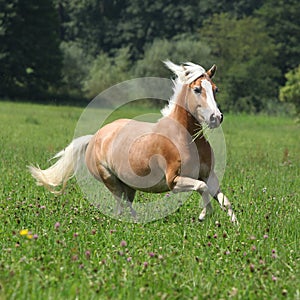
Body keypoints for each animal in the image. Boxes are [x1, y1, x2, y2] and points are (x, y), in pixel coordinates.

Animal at [29, 61, 238, 224]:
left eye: (215, 89)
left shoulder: (208, 175)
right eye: (197, 89)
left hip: (128, 185)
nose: (216, 117)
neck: (184, 137)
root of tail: (95, 137)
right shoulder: (174, 180)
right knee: (121, 206)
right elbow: (201, 188)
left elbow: (224, 200)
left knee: (126, 206)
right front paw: (204, 214)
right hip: (110, 180)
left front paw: (235, 226)